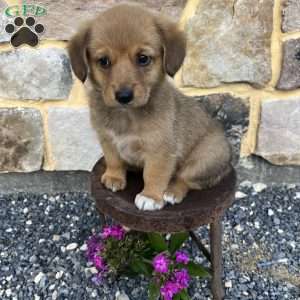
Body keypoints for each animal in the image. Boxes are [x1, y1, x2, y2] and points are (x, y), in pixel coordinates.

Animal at [68, 4, 232, 211]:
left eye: (143, 58)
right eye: (103, 61)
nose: (123, 96)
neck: (126, 115)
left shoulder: (160, 150)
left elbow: (154, 174)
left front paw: (151, 196)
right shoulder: (107, 139)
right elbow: (113, 159)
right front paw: (114, 177)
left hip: (204, 158)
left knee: (186, 180)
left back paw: (171, 192)